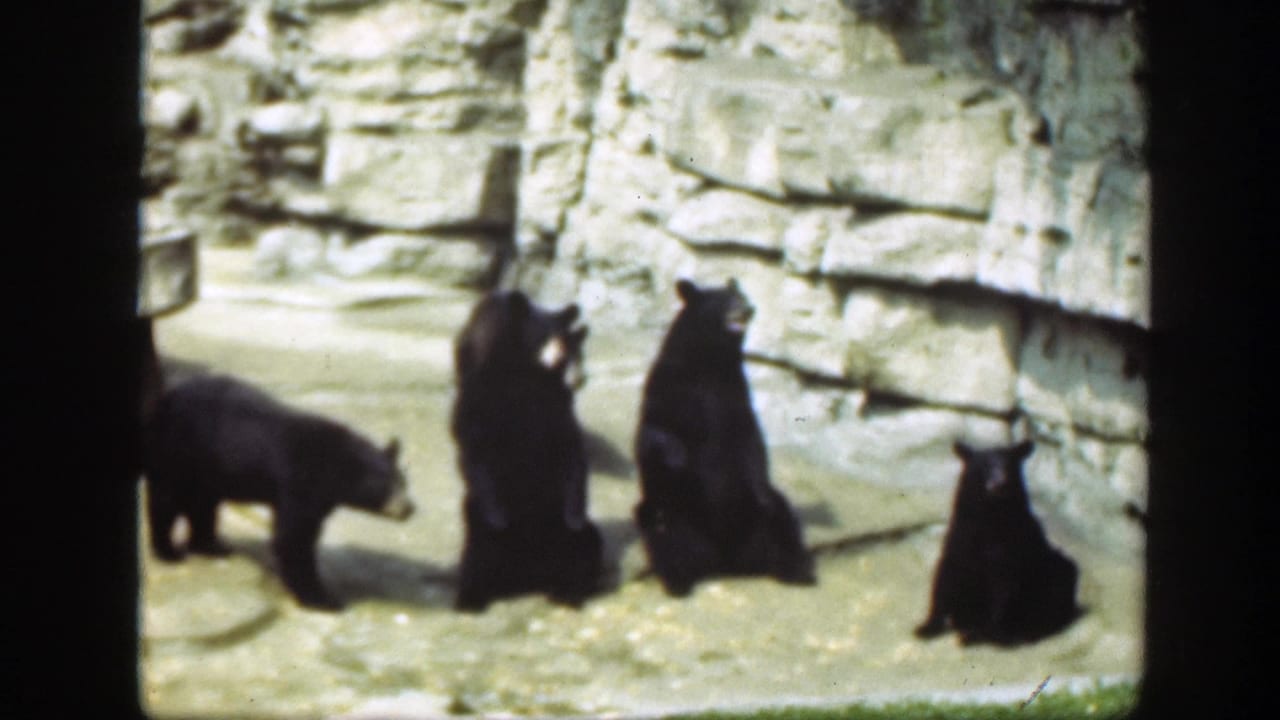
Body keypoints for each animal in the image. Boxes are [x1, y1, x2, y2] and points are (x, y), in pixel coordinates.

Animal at [142, 374, 415, 611]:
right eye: (387, 485)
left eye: (404, 481)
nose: (409, 508)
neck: (330, 466)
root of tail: (166, 397)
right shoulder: (299, 482)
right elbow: (294, 539)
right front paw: (323, 599)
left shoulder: (319, 497)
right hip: (179, 451)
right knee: (167, 499)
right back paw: (168, 551)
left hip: (208, 468)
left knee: (203, 504)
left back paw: (211, 546)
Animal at [450, 290, 601, 611]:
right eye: (544, 335)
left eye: (565, 338)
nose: (560, 359)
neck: (528, 376)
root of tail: (528, 578)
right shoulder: (479, 397)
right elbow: (475, 449)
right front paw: (498, 516)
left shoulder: (557, 406)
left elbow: (571, 451)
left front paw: (575, 515)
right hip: (476, 527)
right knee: (476, 554)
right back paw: (470, 598)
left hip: (564, 538)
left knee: (585, 545)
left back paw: (568, 592)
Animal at [633, 278, 815, 597]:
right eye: (727, 300)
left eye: (741, 295)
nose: (749, 308)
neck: (712, 362)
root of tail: (724, 560)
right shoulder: (669, 385)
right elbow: (654, 429)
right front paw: (676, 457)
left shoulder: (735, 390)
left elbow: (750, 438)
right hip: (674, 511)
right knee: (661, 528)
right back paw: (677, 581)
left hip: (756, 517)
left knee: (781, 517)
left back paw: (796, 571)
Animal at [914, 440, 1080, 645]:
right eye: (984, 466)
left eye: (1008, 465)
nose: (998, 484)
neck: (991, 513)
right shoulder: (960, 539)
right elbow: (945, 578)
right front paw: (926, 627)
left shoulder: (1011, 547)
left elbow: (1002, 587)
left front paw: (977, 634)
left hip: (1050, 573)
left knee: (1059, 580)